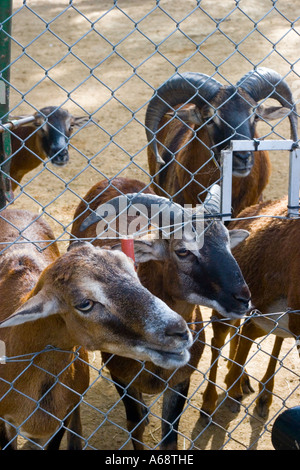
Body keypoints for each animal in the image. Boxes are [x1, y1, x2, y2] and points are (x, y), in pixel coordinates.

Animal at [71, 175, 251, 448]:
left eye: (228, 244)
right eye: (183, 250)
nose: (243, 298)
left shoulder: (180, 381)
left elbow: (169, 437)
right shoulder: (122, 378)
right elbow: (135, 427)